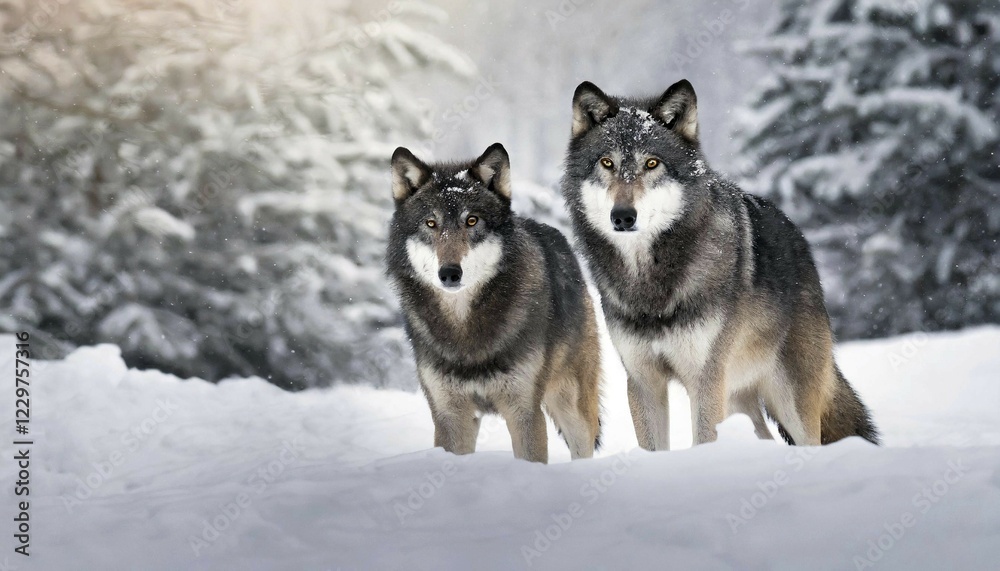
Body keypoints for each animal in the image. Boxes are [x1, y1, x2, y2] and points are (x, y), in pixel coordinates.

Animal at [387, 143, 602, 463]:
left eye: (472, 220)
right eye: (430, 223)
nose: (449, 273)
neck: (464, 329)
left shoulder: (524, 411)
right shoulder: (450, 416)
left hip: (571, 405)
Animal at [561, 79, 879, 449]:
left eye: (652, 163)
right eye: (607, 162)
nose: (623, 216)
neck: (651, 280)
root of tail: (798, 238)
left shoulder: (705, 380)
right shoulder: (642, 381)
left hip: (788, 402)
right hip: (737, 399)